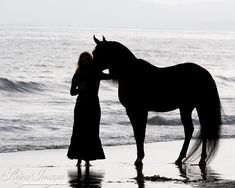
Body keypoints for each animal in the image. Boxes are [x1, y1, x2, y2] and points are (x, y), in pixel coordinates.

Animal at [92, 36, 222, 168]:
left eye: (99, 53)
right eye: (94, 53)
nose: (91, 69)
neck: (132, 73)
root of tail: (205, 74)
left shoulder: (138, 110)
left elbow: (140, 134)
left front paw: (139, 159)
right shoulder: (135, 111)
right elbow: (138, 134)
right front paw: (139, 158)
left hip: (199, 106)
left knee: (202, 130)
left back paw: (200, 159)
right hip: (187, 107)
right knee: (190, 130)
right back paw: (182, 158)